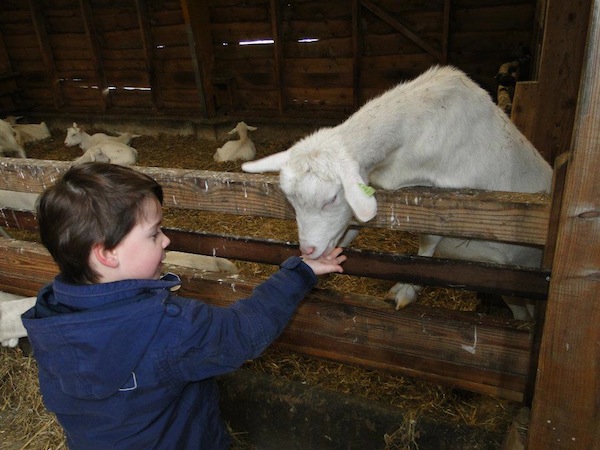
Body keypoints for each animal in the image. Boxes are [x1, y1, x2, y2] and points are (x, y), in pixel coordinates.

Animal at [241, 65, 552, 322]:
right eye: (291, 201)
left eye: (332, 199)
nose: (307, 250)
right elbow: (351, 226)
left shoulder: (448, 202)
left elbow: (429, 238)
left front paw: (407, 289)